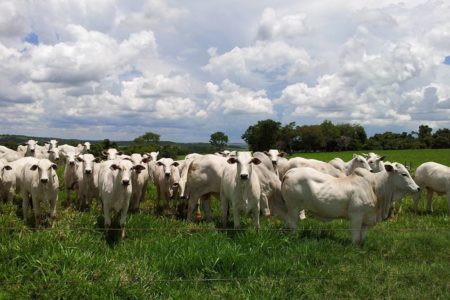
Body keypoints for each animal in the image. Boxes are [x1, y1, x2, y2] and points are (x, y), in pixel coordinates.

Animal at [282, 162, 418, 244]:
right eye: (404, 174)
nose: (418, 188)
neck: (375, 187)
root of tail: (289, 172)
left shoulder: (367, 217)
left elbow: (362, 235)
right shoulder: (356, 215)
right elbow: (356, 236)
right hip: (293, 207)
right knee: (293, 224)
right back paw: (295, 237)